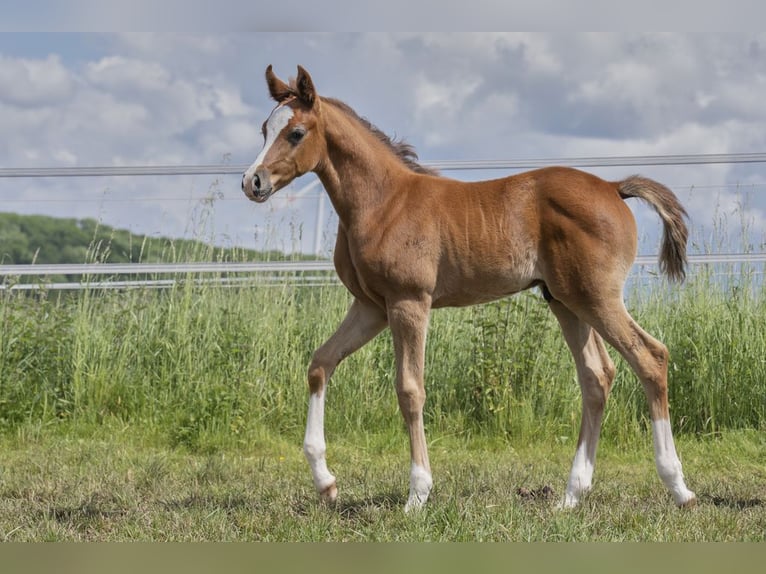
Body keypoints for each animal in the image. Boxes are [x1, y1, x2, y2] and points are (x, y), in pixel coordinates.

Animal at [241, 65, 696, 512]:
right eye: (265, 129)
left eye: (296, 132)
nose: (252, 182)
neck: (383, 202)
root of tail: (614, 188)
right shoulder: (371, 307)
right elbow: (321, 363)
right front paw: (326, 483)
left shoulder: (409, 302)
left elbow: (410, 389)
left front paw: (418, 493)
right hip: (566, 301)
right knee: (597, 375)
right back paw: (572, 494)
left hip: (597, 297)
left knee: (651, 357)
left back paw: (677, 486)